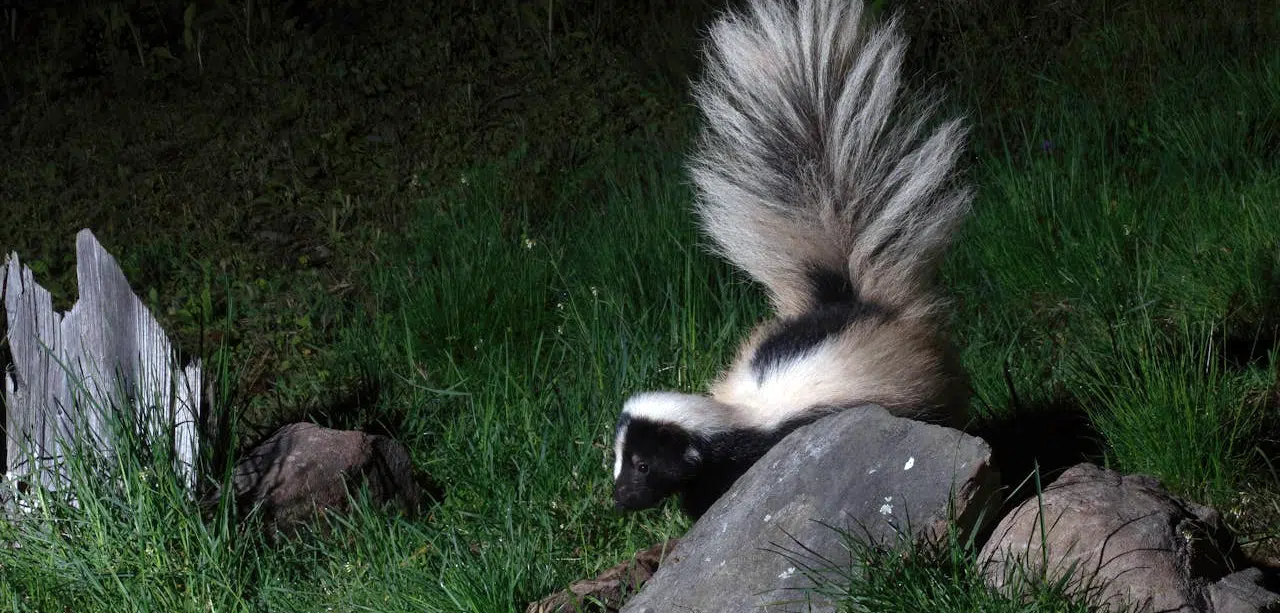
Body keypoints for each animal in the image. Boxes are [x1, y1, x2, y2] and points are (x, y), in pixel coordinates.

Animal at [614, 0, 972, 519]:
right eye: (620, 461)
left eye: (644, 466)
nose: (619, 497)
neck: (738, 418)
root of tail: (853, 303)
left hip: (918, 392)